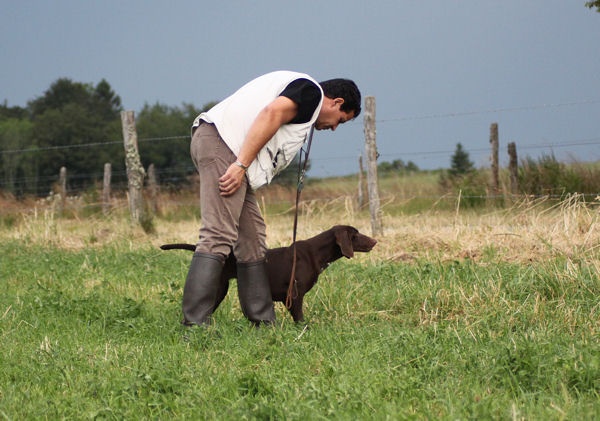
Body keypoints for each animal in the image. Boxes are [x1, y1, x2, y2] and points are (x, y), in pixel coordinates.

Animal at [159, 225, 376, 320]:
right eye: (355, 235)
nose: (375, 241)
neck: (315, 253)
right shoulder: (294, 296)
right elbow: (300, 320)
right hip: (220, 289)